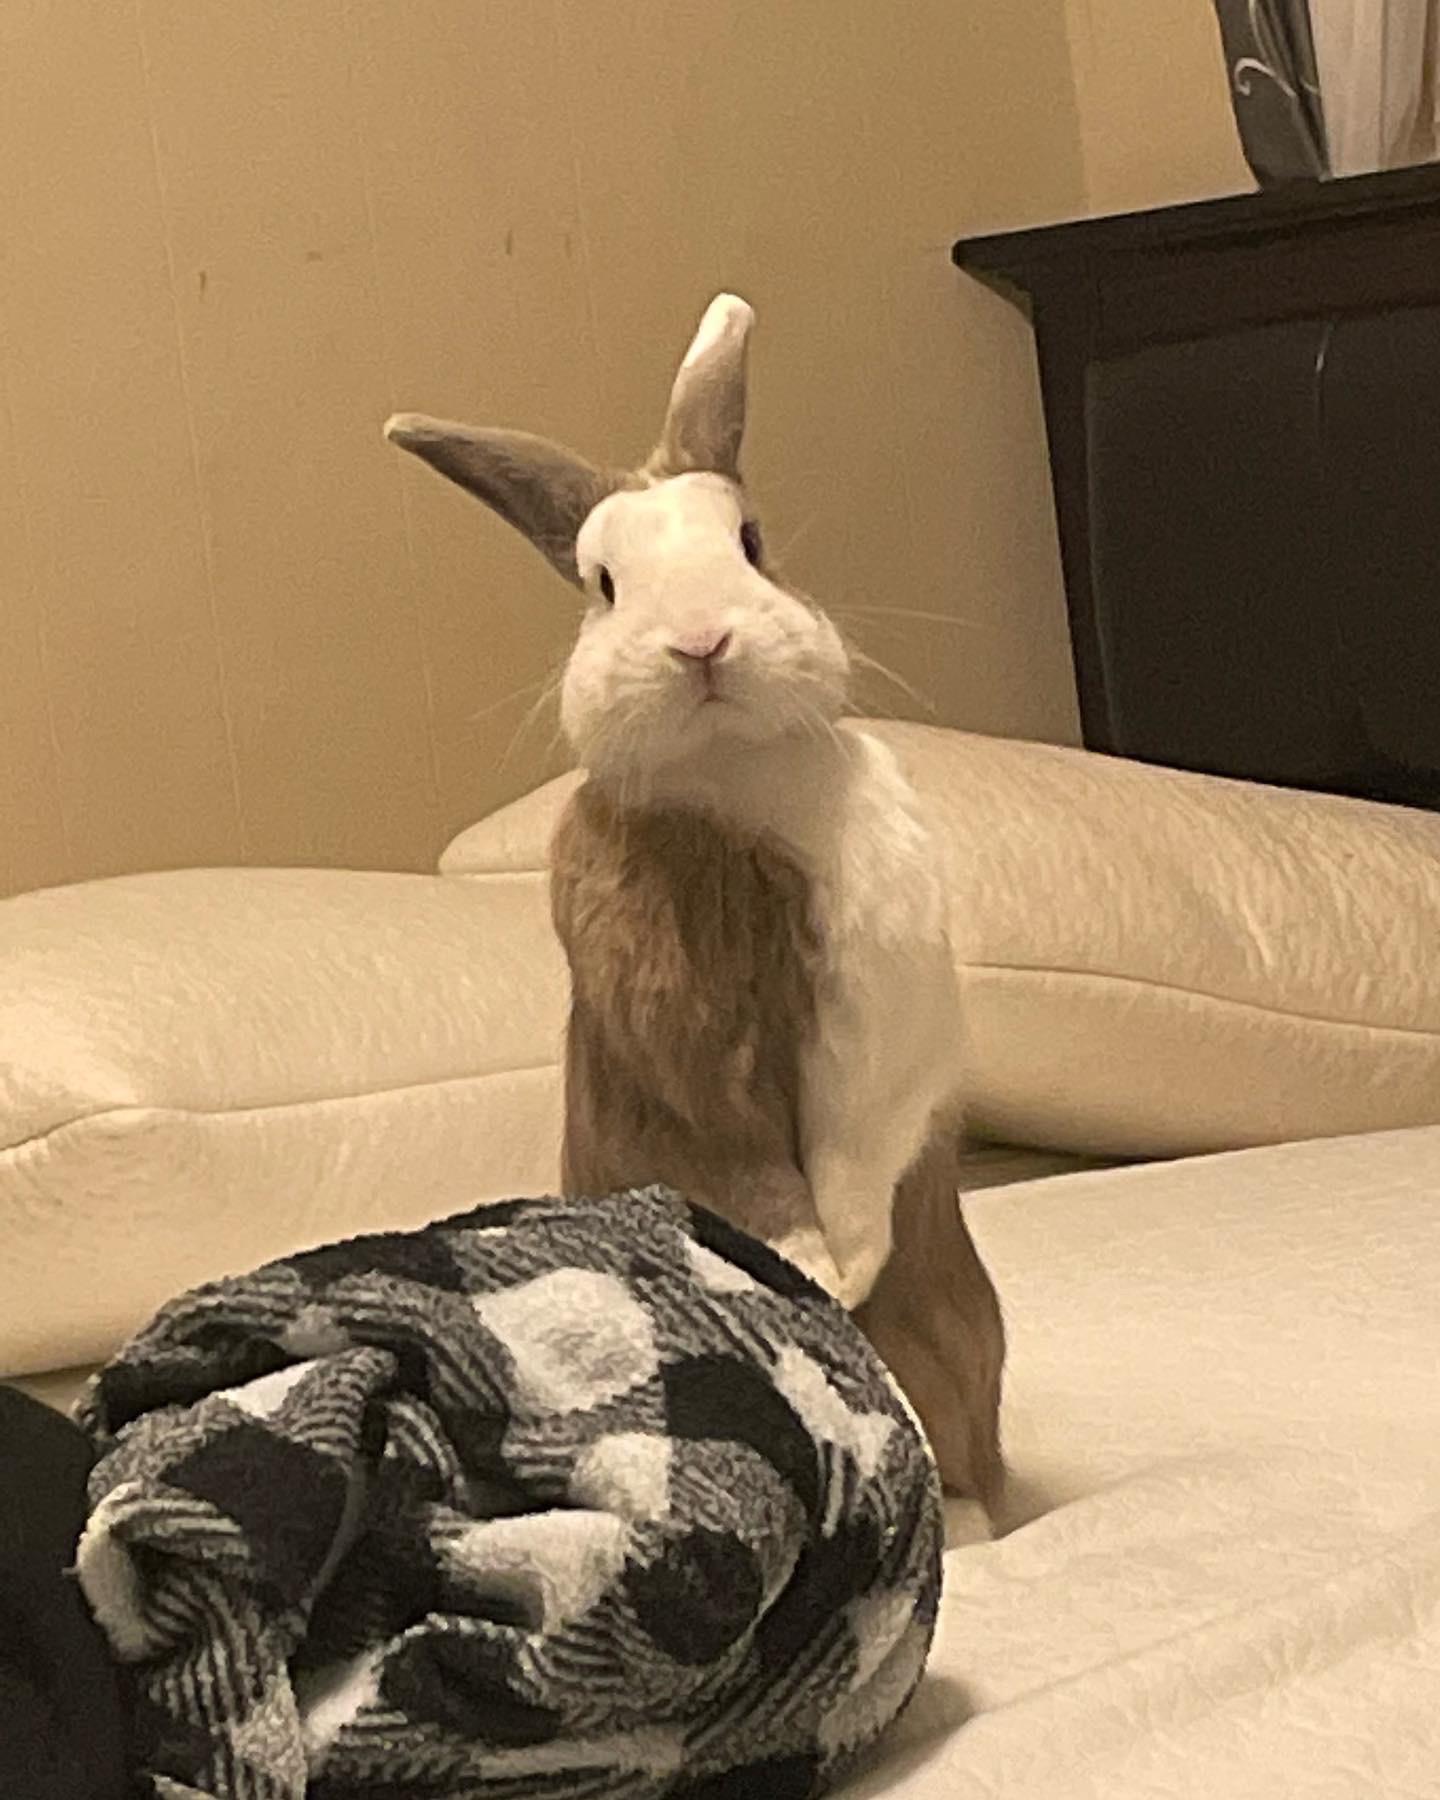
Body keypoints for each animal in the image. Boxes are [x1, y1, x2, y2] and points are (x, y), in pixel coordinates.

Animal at [385, 294, 1004, 1508]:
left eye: (752, 543)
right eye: (603, 586)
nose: (702, 641)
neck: (733, 778)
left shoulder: (879, 1013)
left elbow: (858, 1148)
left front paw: (848, 1265)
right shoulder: (680, 1048)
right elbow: (748, 1168)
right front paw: (816, 1271)